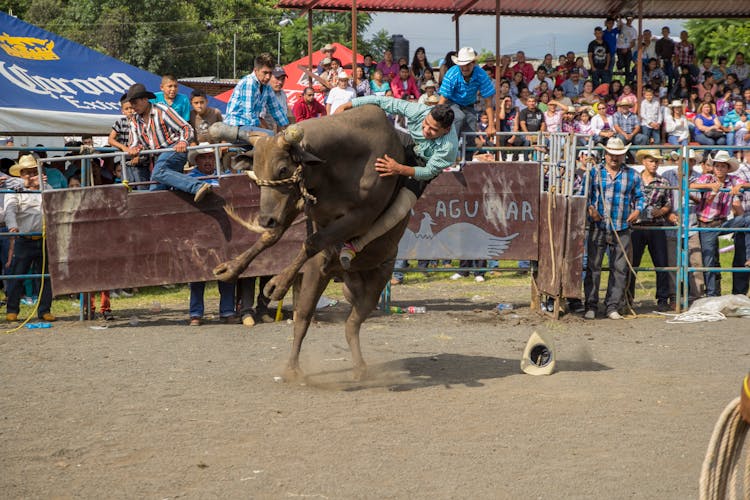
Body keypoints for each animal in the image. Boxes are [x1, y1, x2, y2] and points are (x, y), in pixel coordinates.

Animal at [212, 105, 408, 378]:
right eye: (256, 174)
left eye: (283, 169)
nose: (265, 219)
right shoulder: (295, 201)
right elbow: (273, 236)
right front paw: (231, 268)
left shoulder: (360, 217)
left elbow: (313, 241)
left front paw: (277, 284)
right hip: (319, 278)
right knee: (304, 318)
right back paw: (293, 369)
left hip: (377, 281)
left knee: (352, 324)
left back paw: (359, 368)